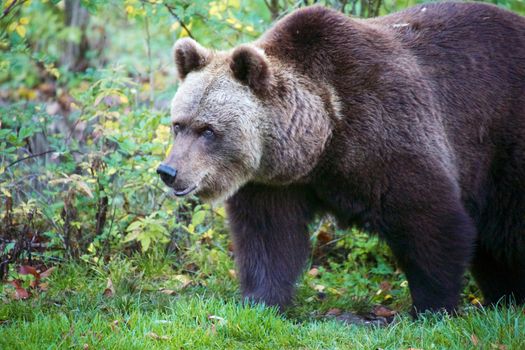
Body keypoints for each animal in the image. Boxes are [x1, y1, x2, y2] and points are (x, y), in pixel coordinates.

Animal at [157, 2, 524, 314]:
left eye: (208, 130)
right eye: (178, 124)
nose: (168, 171)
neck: (322, 138)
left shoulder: (386, 133)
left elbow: (432, 221)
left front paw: (432, 306)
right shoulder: (273, 182)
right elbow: (267, 238)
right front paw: (260, 301)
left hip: (502, 142)